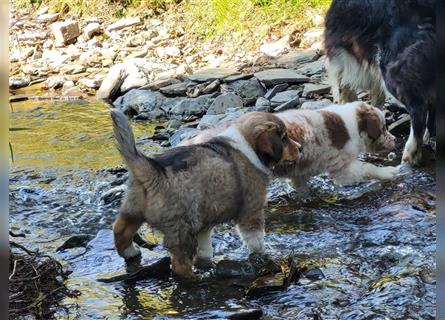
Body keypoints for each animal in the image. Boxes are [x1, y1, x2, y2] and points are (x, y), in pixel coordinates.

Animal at [109, 110, 300, 278]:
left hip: (133, 207)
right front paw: (261, 254)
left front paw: (206, 259)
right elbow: (255, 239)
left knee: (120, 228)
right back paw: (194, 277)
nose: (300, 148)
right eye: (284, 139)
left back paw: (131, 252)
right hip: (182, 228)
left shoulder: (205, 220)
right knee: (179, 265)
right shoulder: (251, 210)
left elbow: (205, 245)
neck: (248, 147)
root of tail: (154, 172)